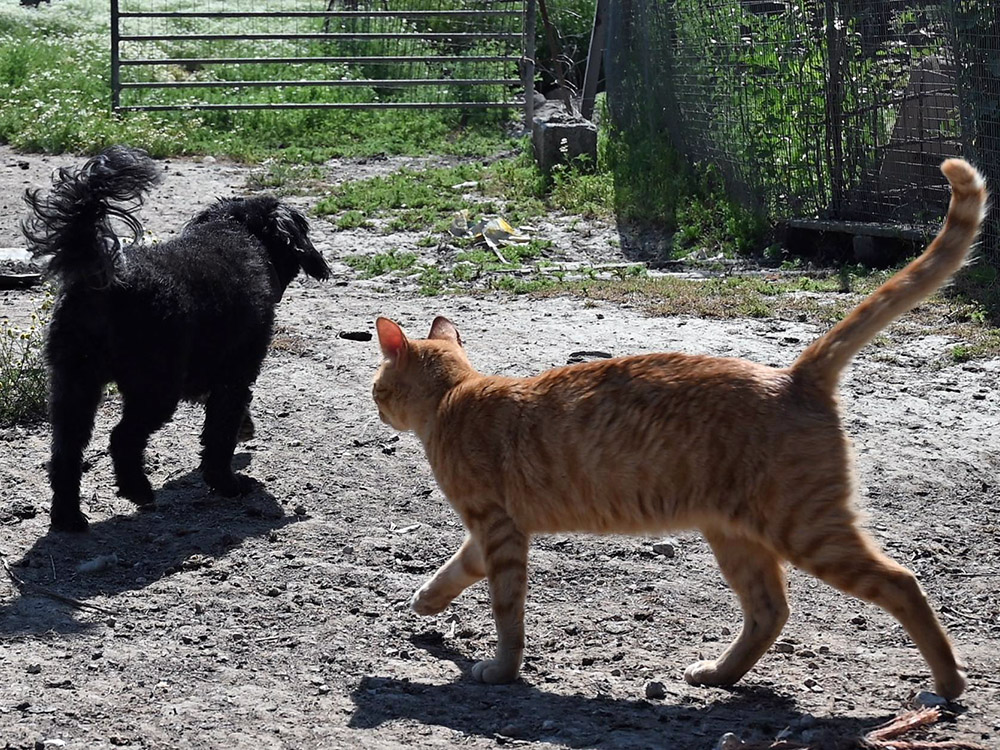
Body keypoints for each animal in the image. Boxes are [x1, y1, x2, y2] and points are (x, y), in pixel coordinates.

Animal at [23, 145, 331, 532]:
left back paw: (69, 517)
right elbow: (219, 432)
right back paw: (138, 490)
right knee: (122, 439)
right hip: (155, 387)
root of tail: (103, 278)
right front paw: (226, 483)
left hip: (74, 383)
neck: (238, 233)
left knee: (66, 452)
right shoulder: (235, 374)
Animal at [372, 158, 986, 699]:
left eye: (377, 386)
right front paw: (425, 601)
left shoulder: (498, 529)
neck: (452, 400)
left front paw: (500, 670)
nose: (375, 406)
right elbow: (455, 569)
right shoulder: (493, 531)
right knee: (771, 610)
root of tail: (792, 375)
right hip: (736, 535)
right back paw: (719, 674)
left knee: (900, 582)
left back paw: (948, 683)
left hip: (807, 528)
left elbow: (506, 613)